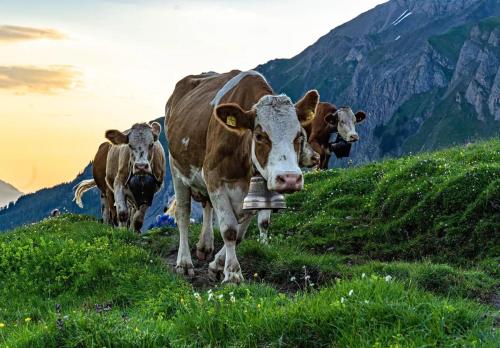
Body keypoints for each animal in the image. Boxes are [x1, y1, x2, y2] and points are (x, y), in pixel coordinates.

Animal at [166, 70, 318, 282]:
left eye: (299, 136)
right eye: (260, 136)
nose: (289, 179)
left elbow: (239, 233)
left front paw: (217, 265)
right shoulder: (213, 177)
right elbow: (229, 229)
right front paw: (233, 274)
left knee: (206, 206)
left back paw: (205, 246)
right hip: (176, 168)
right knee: (183, 214)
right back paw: (184, 262)